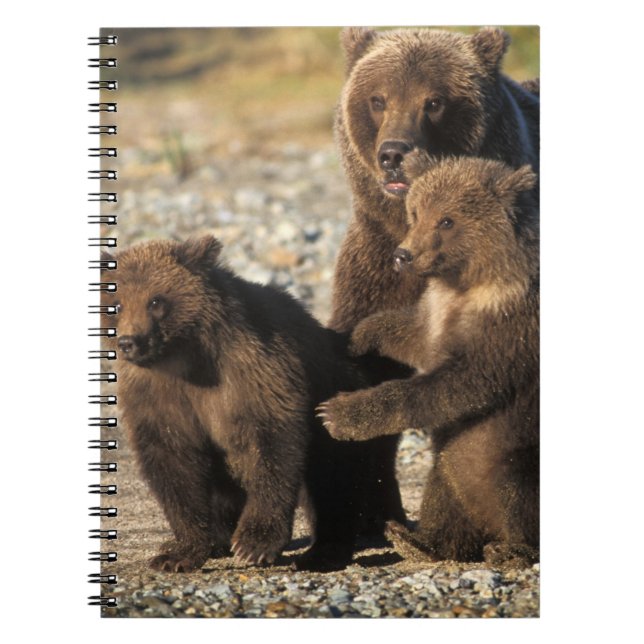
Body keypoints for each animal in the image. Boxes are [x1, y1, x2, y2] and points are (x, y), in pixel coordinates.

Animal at [101, 235, 376, 572]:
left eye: (156, 301)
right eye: (116, 304)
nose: (130, 342)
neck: (185, 357)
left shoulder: (252, 372)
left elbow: (272, 446)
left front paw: (254, 544)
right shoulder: (157, 396)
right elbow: (173, 462)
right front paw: (177, 553)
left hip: (334, 398)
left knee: (333, 479)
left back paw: (324, 551)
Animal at [319, 153, 539, 565]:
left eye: (448, 220)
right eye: (416, 211)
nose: (403, 255)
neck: (468, 283)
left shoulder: (508, 330)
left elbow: (458, 385)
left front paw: (337, 414)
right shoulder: (438, 311)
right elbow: (413, 335)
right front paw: (356, 337)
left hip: (514, 451)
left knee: (516, 485)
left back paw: (512, 549)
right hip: (452, 468)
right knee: (444, 490)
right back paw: (418, 540)